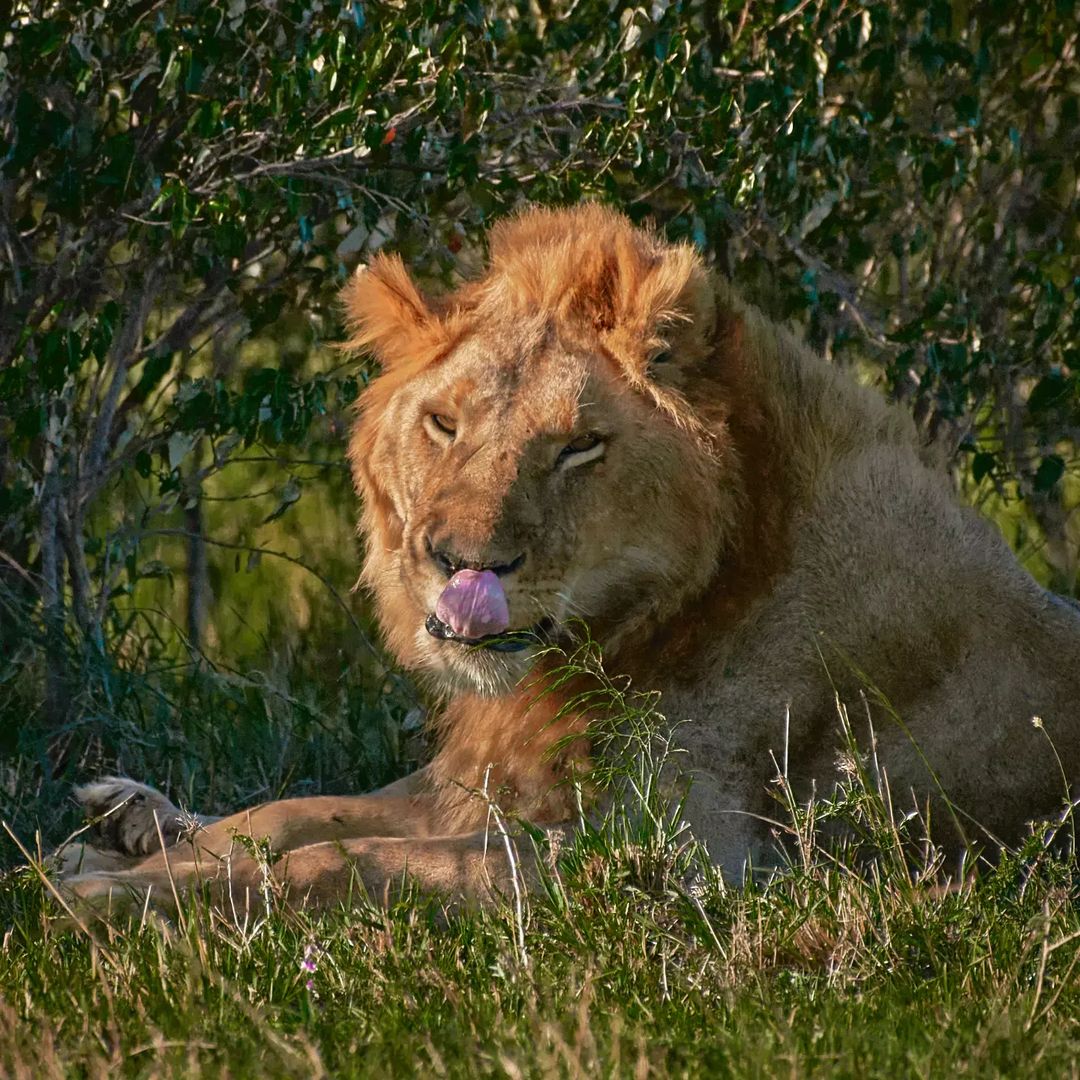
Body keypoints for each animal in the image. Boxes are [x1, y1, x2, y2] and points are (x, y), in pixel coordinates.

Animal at [60, 204, 1080, 912]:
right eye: (445, 423)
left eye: (580, 447)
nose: (460, 565)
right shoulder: (486, 776)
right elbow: (297, 813)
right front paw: (124, 854)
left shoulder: (691, 857)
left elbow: (352, 860)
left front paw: (111, 899)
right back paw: (127, 814)